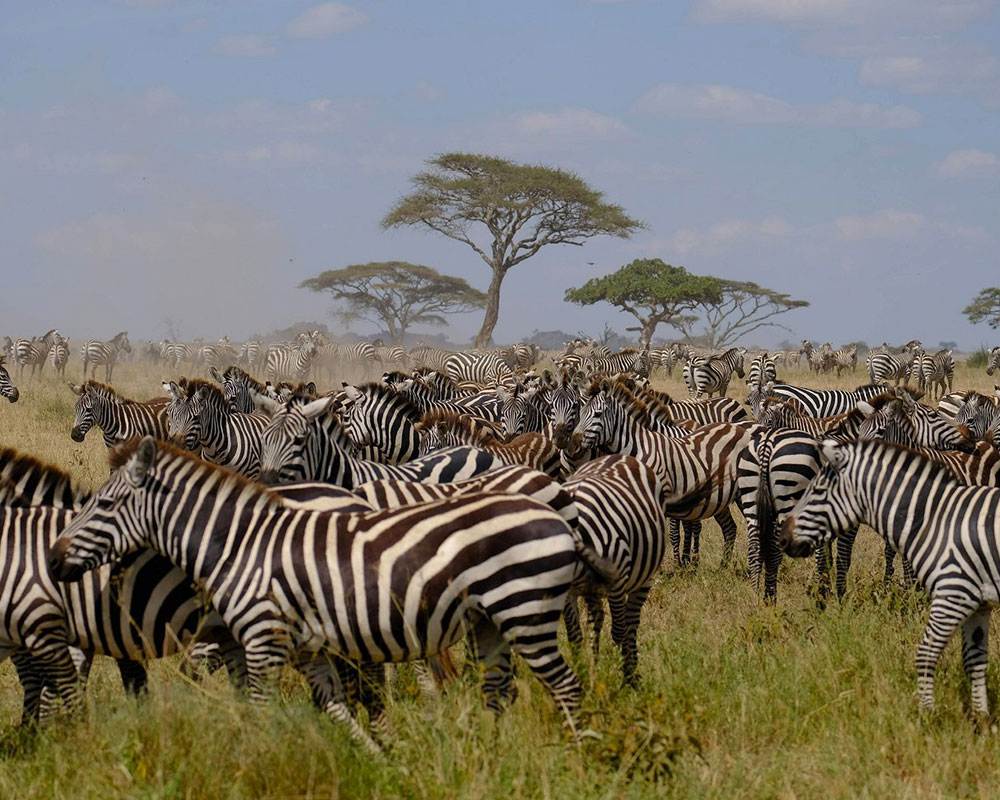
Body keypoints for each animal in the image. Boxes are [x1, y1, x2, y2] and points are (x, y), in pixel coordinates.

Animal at [52, 434, 616, 748]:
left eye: (104, 505)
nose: (55, 560)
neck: (238, 544)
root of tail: (559, 517)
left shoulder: (264, 639)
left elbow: (261, 709)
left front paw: (259, 760)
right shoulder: (307, 648)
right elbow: (338, 710)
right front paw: (379, 758)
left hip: (526, 612)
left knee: (565, 687)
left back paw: (582, 752)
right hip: (490, 622)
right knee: (500, 692)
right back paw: (485, 754)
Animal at [780, 440, 1000, 716]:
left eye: (818, 491)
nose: (783, 538)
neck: (933, 520)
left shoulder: (954, 594)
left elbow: (926, 654)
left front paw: (927, 716)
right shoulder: (978, 604)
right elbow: (975, 661)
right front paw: (980, 719)